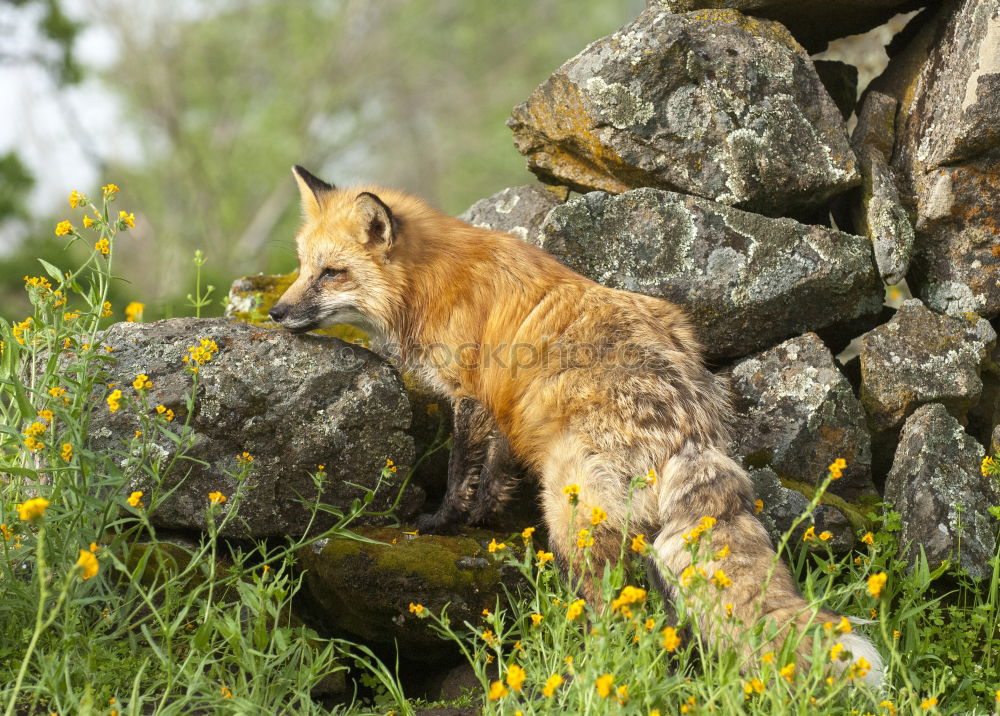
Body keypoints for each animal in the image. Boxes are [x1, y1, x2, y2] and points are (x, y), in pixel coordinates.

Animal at [270, 165, 880, 684]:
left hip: (569, 516)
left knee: (615, 616)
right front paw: (486, 515)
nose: (275, 313)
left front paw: (442, 523)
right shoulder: (506, 408)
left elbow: (459, 471)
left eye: (332, 274)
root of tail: (694, 433)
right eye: (302, 268)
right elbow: (495, 470)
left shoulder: (470, 396)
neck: (434, 282)